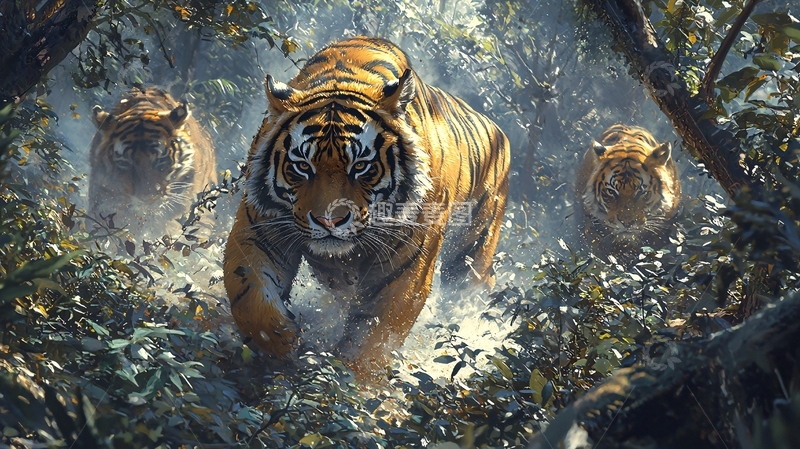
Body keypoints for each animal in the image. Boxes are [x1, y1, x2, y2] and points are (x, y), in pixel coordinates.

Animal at [223, 36, 510, 377]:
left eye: (361, 166)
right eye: (303, 166)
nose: (328, 222)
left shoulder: (406, 267)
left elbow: (373, 335)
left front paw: (344, 382)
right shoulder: (261, 229)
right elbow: (251, 298)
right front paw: (284, 344)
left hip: (472, 251)